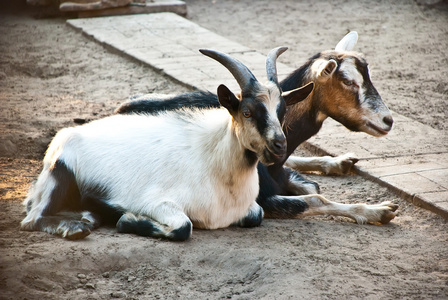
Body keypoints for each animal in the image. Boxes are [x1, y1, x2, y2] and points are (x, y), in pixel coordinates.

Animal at [116, 31, 400, 224]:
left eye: (282, 110)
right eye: (347, 81)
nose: (387, 120)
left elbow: (311, 187)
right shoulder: (262, 199)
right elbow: (313, 198)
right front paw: (379, 211)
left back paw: (339, 161)